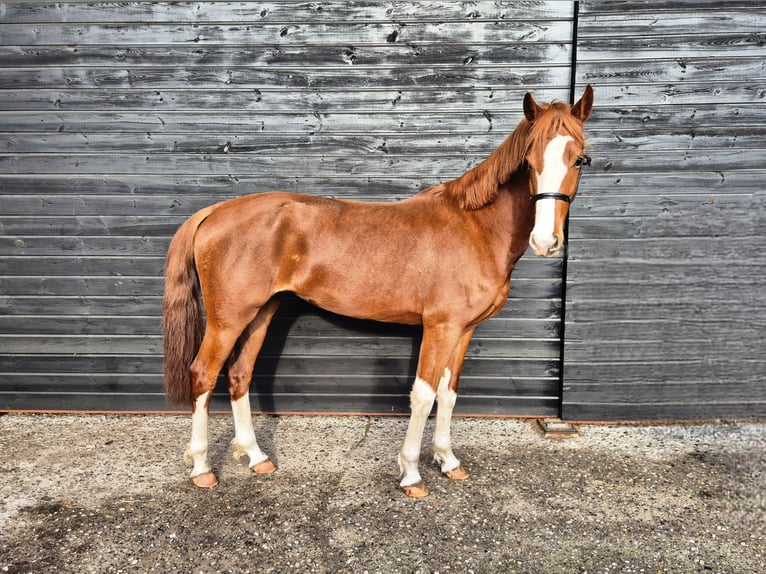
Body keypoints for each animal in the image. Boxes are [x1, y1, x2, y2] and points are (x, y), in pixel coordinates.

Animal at [163, 86, 594, 497]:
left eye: (578, 160)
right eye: (530, 160)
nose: (545, 241)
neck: (475, 227)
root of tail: (214, 212)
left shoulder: (464, 330)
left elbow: (448, 394)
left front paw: (448, 461)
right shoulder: (440, 327)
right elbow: (423, 395)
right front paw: (411, 474)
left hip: (261, 312)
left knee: (239, 374)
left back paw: (256, 457)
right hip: (227, 318)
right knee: (203, 374)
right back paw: (201, 468)